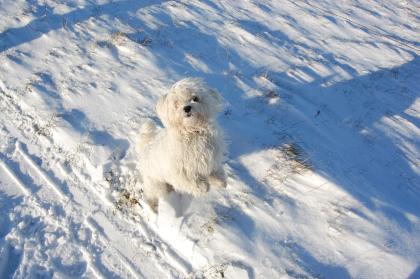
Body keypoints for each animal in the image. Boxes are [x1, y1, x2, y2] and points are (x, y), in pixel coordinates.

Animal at [138, 77, 226, 211]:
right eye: (176, 104)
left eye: (195, 98)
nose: (187, 108)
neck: (193, 132)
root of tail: (145, 148)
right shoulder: (178, 171)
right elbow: (189, 180)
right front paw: (203, 187)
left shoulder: (210, 156)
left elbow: (214, 169)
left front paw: (220, 180)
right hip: (156, 184)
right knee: (152, 194)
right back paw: (153, 207)